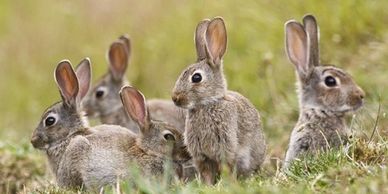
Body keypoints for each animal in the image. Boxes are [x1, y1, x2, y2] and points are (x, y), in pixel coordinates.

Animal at [173, 17, 266, 185]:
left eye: (196, 77)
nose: (175, 98)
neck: (207, 104)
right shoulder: (201, 156)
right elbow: (206, 172)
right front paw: (208, 186)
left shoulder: (226, 147)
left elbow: (227, 168)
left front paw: (228, 185)